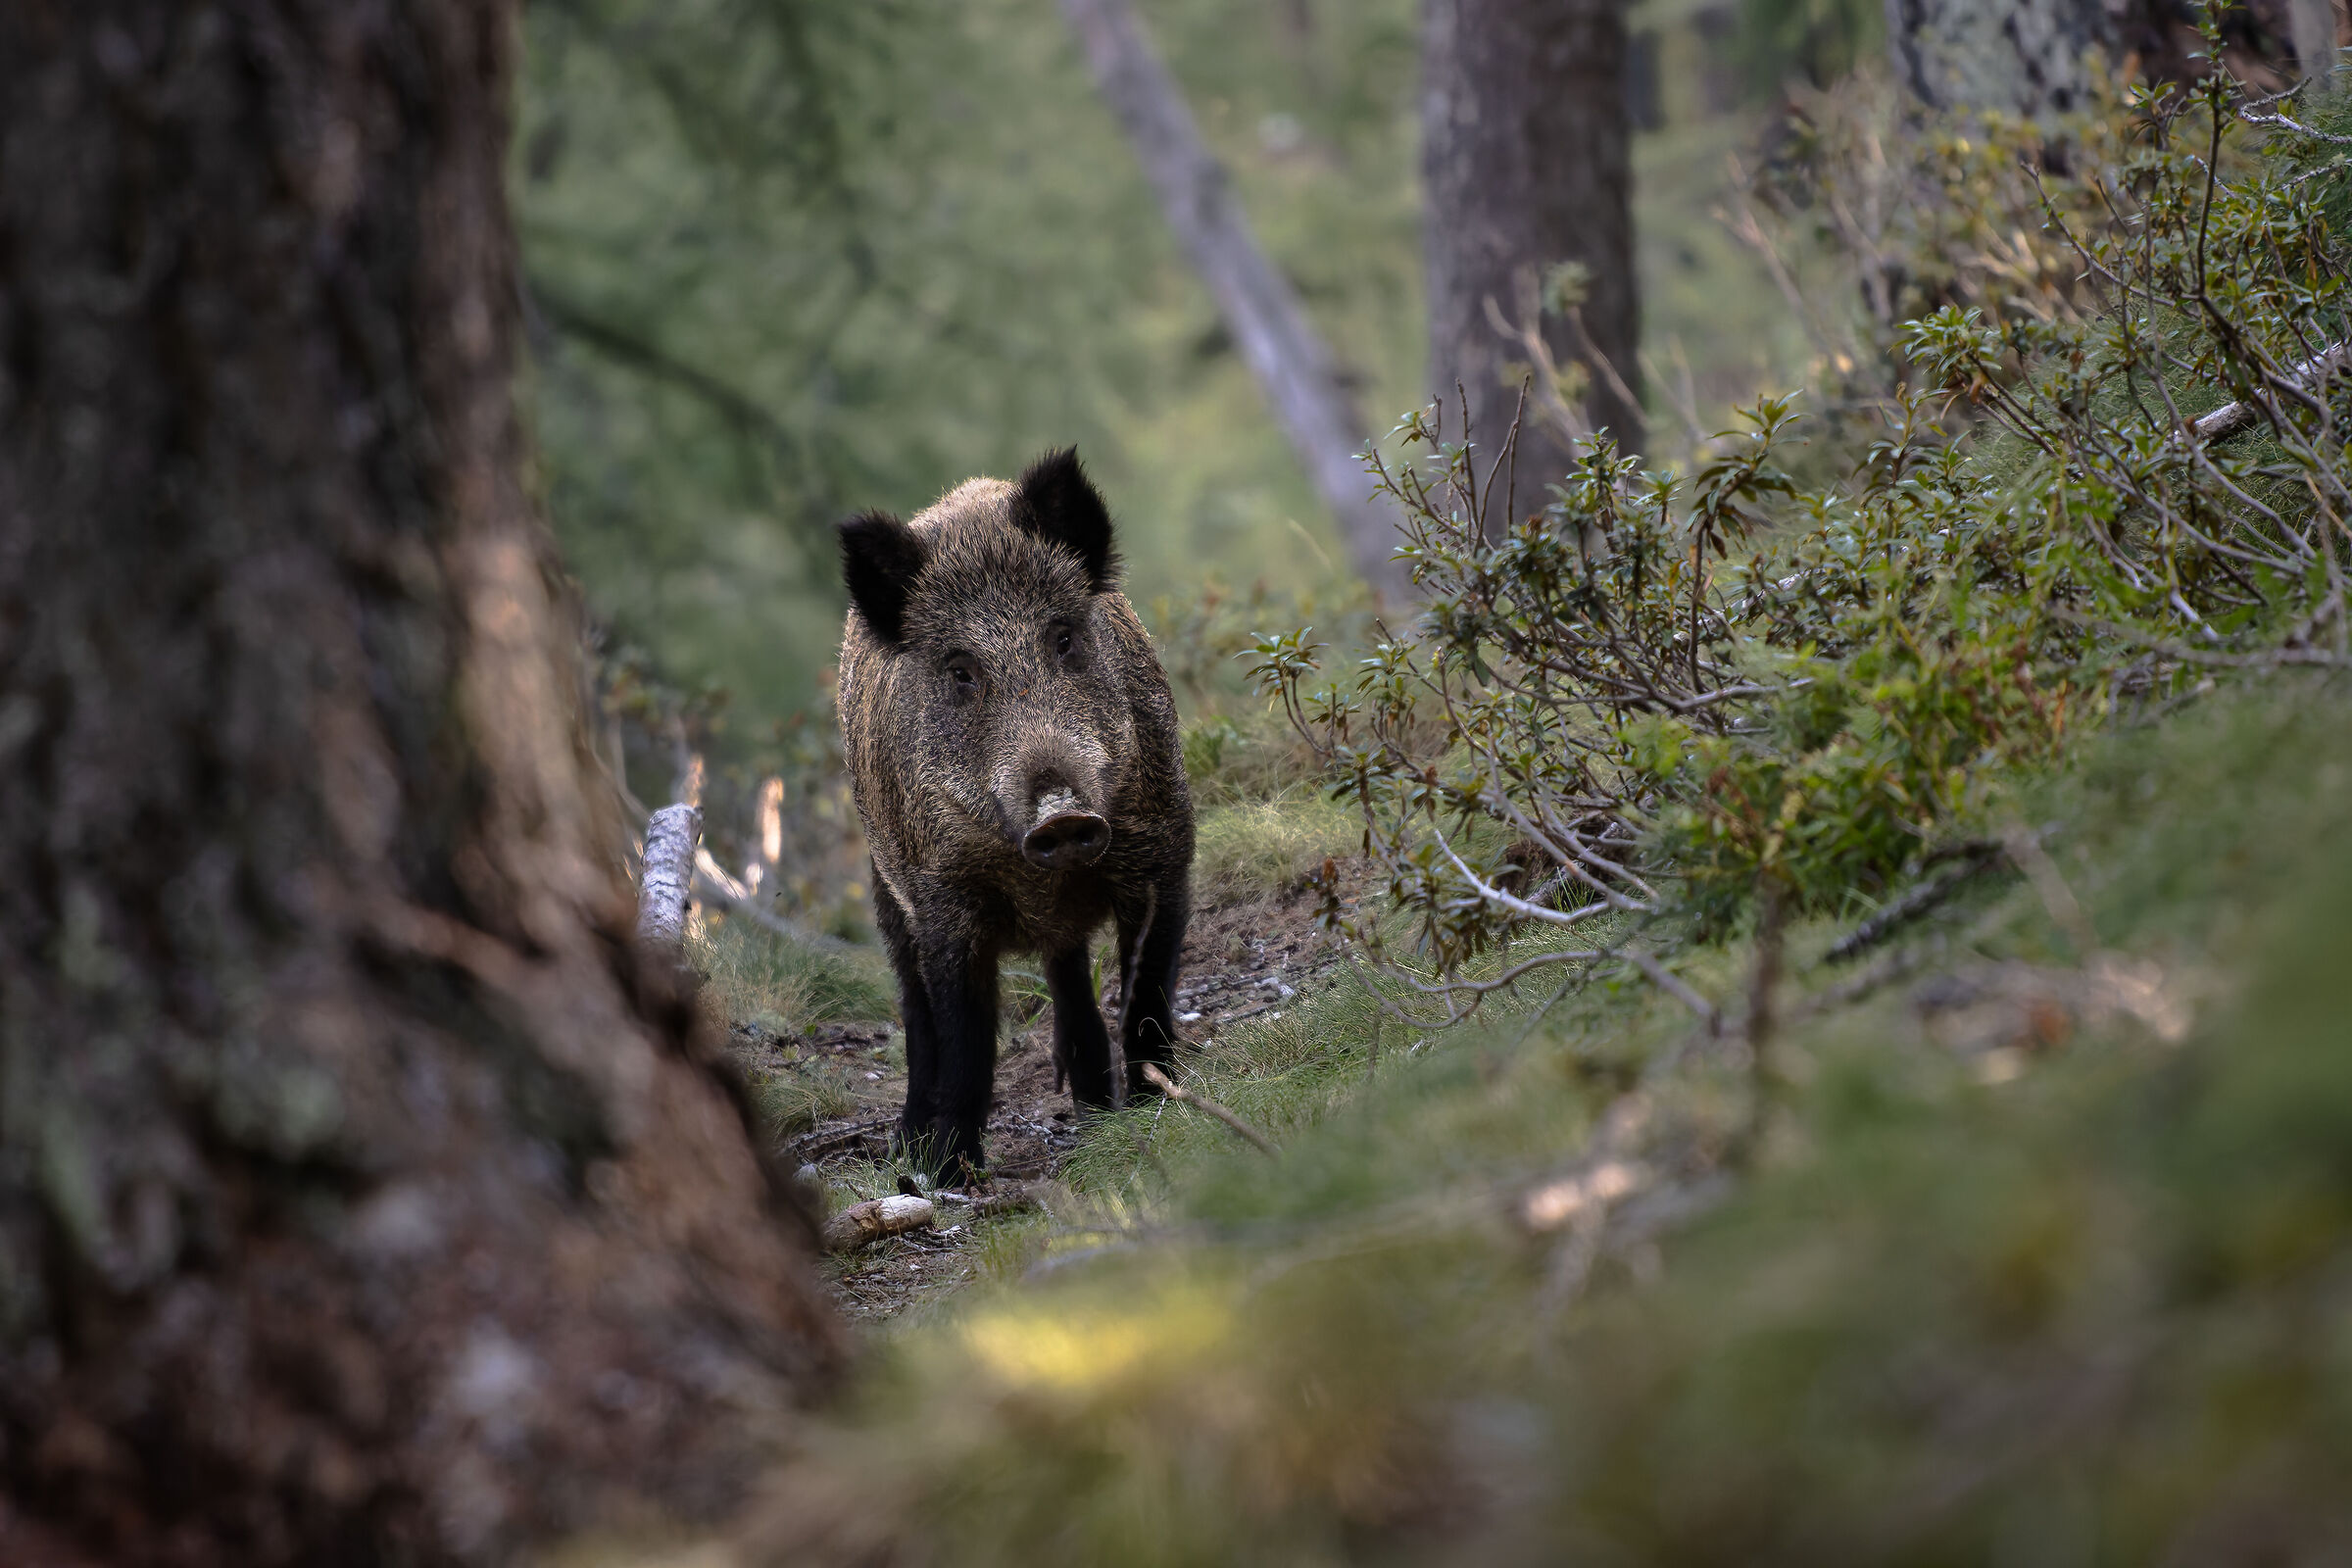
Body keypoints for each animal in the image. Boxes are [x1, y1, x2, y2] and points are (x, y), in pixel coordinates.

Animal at [836, 449, 1194, 1178]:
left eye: (1063, 637)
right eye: (960, 671)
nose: (1061, 816)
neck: (1039, 879)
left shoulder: (1163, 847)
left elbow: (1145, 993)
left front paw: (1153, 1109)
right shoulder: (944, 898)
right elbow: (965, 1039)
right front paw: (949, 1174)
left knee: (1069, 975)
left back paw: (1095, 1109)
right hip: (886, 893)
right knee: (916, 1015)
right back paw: (906, 1151)